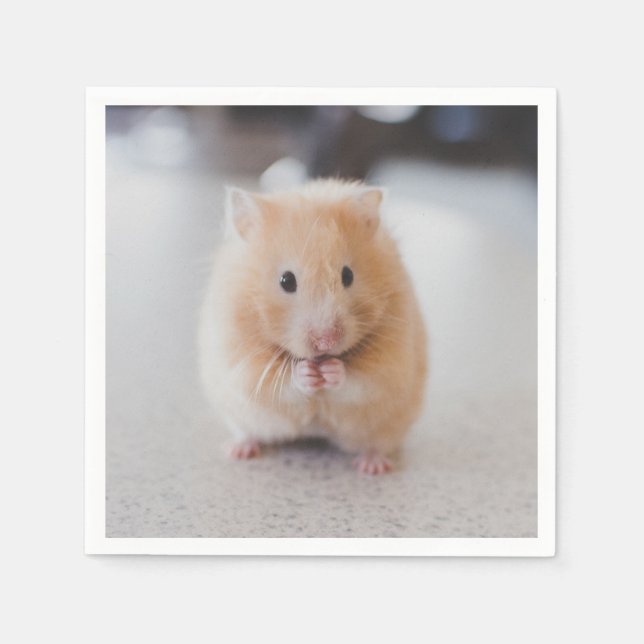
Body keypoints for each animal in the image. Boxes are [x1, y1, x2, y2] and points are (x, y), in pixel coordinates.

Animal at [198, 179, 427, 474]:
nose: (326, 342)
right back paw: (238, 450)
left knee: (376, 444)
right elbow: (279, 383)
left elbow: (361, 381)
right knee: (247, 432)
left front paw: (332, 371)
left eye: (348, 275)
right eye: (286, 280)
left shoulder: (390, 363)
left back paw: (372, 467)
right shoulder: (241, 361)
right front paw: (307, 373)